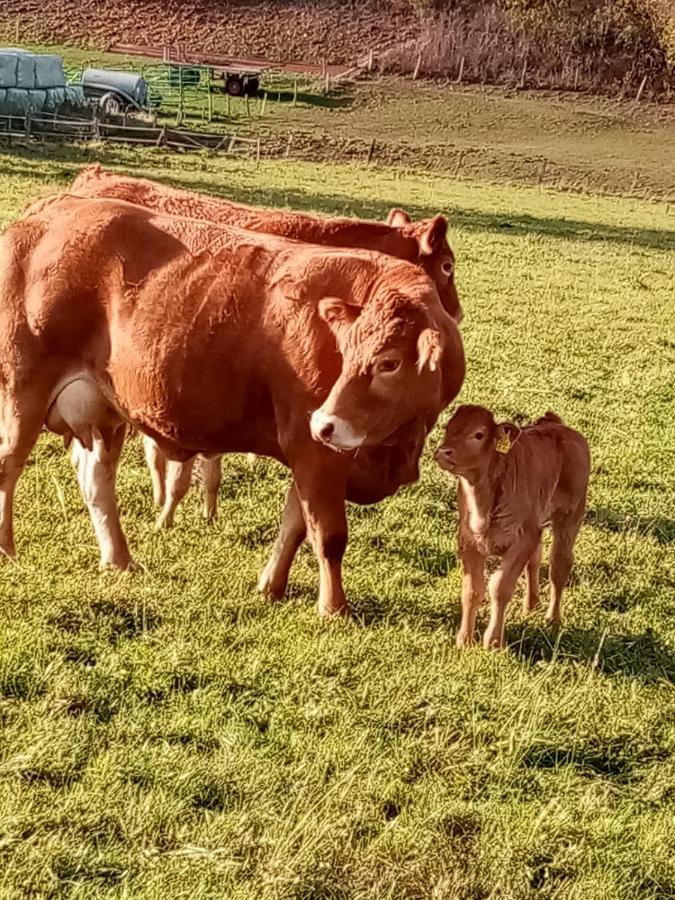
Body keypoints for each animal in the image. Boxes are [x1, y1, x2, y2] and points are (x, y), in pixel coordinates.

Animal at [0, 197, 464, 620]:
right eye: (346, 352)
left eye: (389, 363)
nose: (325, 422)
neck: (395, 444)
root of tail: (45, 217)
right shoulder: (314, 450)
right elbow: (328, 535)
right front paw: (334, 608)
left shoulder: (311, 453)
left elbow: (294, 524)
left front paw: (271, 586)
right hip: (23, 391)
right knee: (9, 466)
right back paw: (8, 548)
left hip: (103, 410)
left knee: (97, 480)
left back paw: (120, 559)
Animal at [436, 406, 588, 648]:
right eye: (448, 428)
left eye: (478, 434)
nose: (443, 452)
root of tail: (555, 423)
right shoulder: (468, 541)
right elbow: (472, 590)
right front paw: (464, 639)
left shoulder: (521, 541)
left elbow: (500, 588)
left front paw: (493, 641)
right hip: (538, 525)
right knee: (536, 559)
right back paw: (531, 604)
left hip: (570, 517)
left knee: (559, 565)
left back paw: (552, 619)